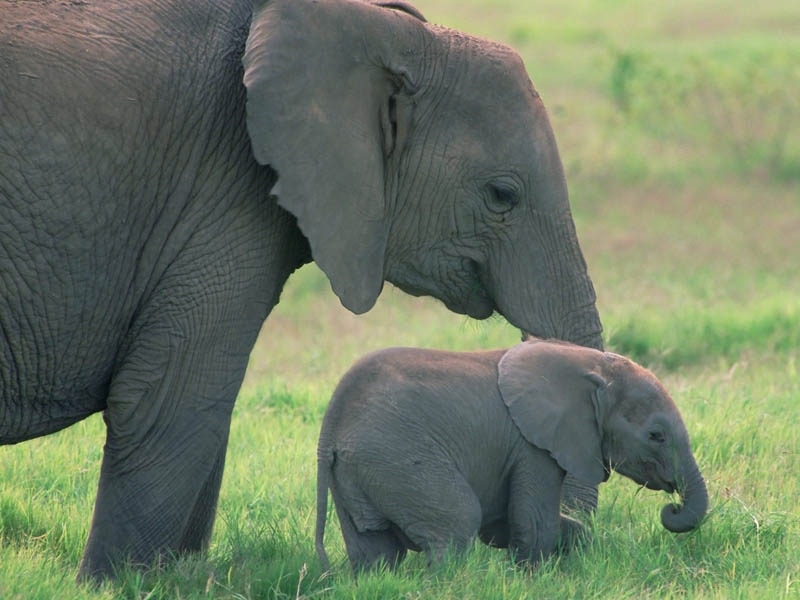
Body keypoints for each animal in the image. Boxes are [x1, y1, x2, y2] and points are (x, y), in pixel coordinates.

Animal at [1, 0, 600, 584]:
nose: (573, 538)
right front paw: (116, 586)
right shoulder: (221, 193)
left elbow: (202, 415)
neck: (386, 31)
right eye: (502, 195)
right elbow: (169, 400)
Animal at [316, 338, 708, 572]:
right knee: (457, 523)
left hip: (358, 470)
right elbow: (533, 523)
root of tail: (332, 423)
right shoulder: (532, 445)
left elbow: (517, 525)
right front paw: (532, 580)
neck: (592, 366)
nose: (672, 507)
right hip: (396, 457)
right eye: (656, 436)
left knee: (374, 551)